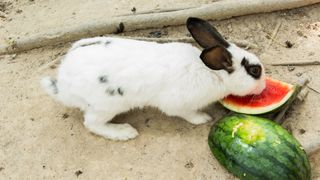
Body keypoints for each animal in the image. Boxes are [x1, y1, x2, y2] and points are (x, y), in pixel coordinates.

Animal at [42, 17, 264, 141]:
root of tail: (63, 84)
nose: (263, 88)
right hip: (106, 106)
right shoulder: (177, 104)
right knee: (91, 123)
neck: (212, 72)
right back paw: (124, 132)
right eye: (255, 71)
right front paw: (203, 118)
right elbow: (188, 114)